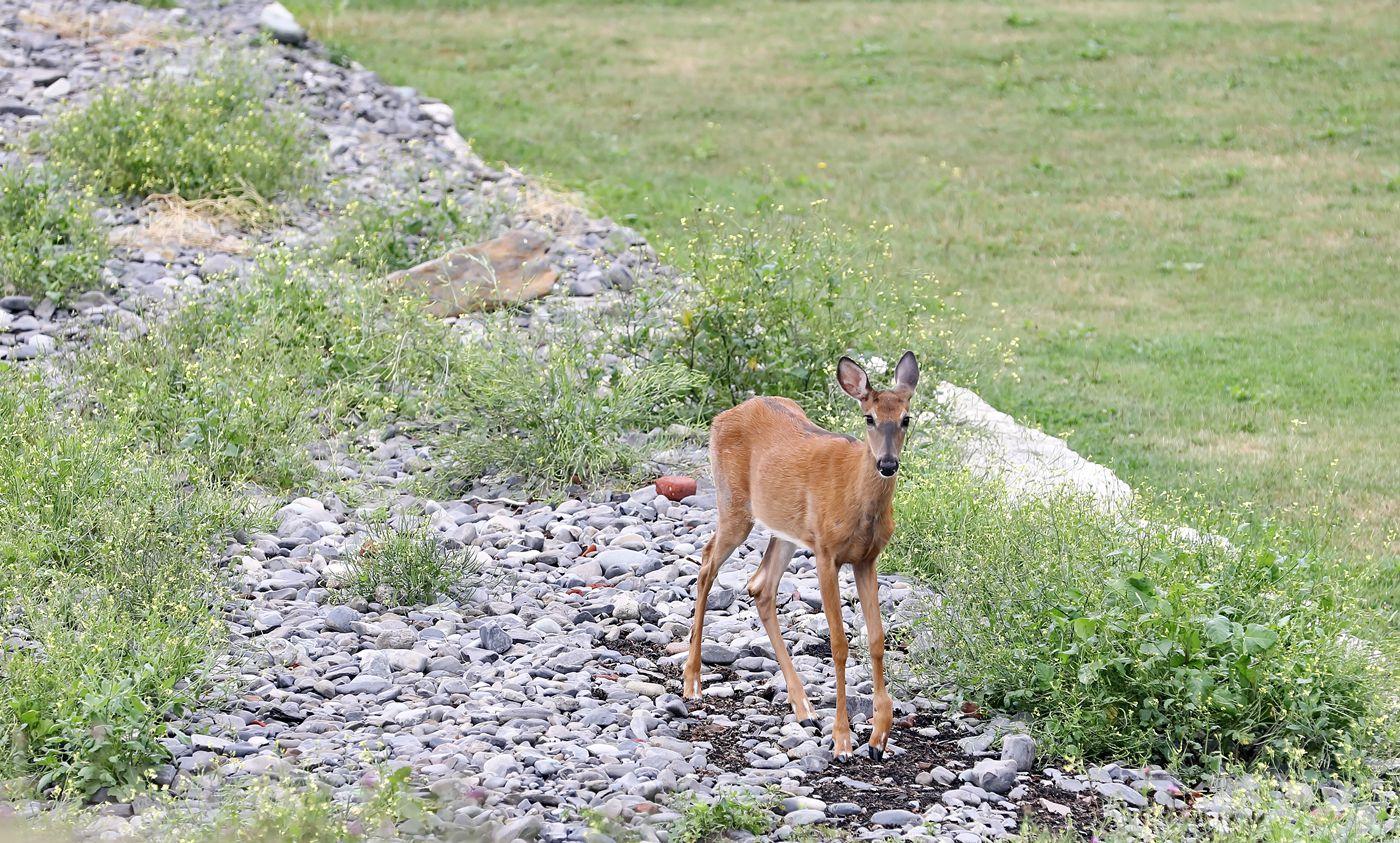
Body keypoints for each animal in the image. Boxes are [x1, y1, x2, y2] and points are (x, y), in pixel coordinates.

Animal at [680, 351, 918, 756]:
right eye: (869, 417)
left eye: (905, 418)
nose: (887, 464)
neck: (856, 500)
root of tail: (723, 415)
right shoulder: (826, 553)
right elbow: (839, 644)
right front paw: (842, 739)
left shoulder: (867, 559)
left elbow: (876, 639)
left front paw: (879, 736)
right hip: (734, 505)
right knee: (707, 563)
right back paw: (692, 681)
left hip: (784, 529)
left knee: (760, 586)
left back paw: (803, 706)